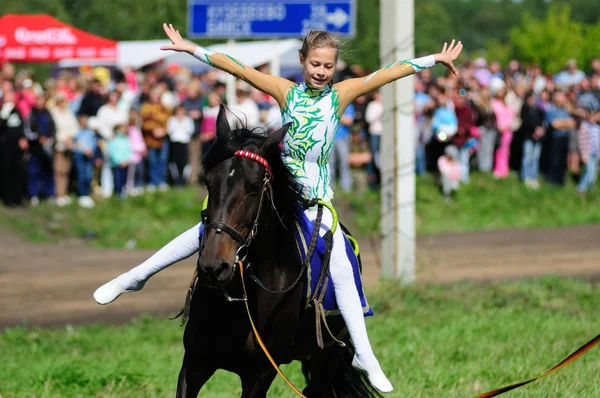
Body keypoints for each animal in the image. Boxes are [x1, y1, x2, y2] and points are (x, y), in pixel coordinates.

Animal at [176, 105, 382, 398]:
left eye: (253, 188)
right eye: (207, 182)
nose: (214, 267)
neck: (240, 299)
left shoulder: (260, 373)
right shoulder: (194, 362)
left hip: (326, 355)